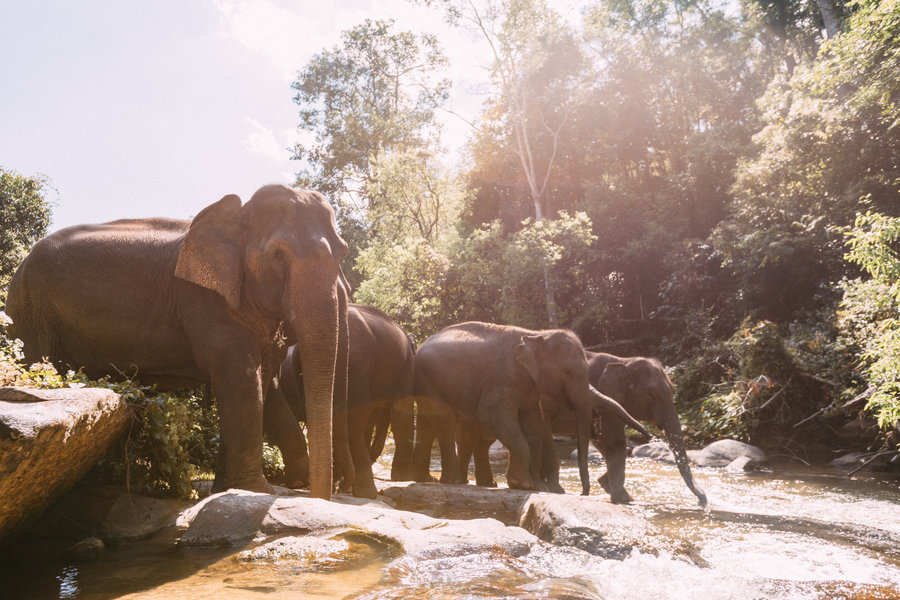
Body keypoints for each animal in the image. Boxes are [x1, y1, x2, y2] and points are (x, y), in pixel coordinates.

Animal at [5, 184, 349, 499]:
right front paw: (252, 492)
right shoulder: (206, 300)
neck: (237, 213)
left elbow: (259, 382)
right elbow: (240, 378)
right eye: (278, 254)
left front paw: (225, 490)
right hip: (31, 313)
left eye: (343, 252)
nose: (320, 496)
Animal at [411, 322, 651, 494]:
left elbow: (533, 425)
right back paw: (452, 481)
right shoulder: (503, 378)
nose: (584, 493)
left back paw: (432, 479)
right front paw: (523, 485)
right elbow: (491, 416)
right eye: (566, 372)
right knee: (445, 419)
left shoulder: (528, 388)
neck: (536, 334)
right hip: (429, 379)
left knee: (429, 423)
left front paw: (537, 487)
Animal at [586, 352, 708, 507]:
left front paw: (609, 485)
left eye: (673, 391)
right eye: (651, 395)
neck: (623, 361)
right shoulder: (605, 398)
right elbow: (613, 437)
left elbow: (602, 439)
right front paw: (623, 498)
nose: (701, 502)